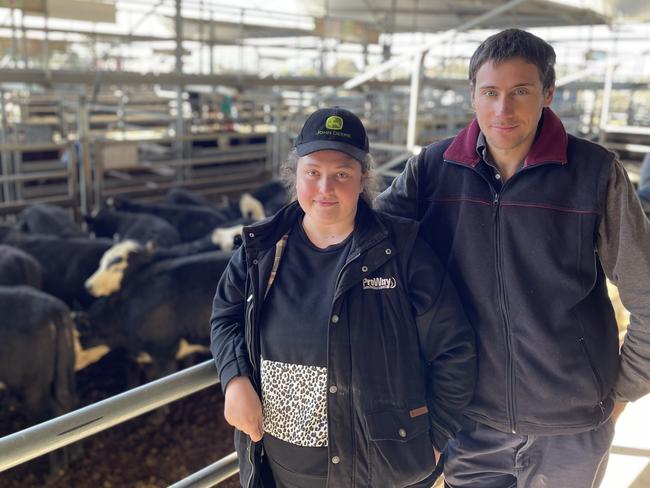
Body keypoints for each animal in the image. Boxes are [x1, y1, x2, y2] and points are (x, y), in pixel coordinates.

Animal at [0, 286, 77, 472]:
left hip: (31, 386)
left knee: (51, 414)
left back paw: (56, 471)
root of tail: (53, 308)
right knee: (69, 400)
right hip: (66, 370)